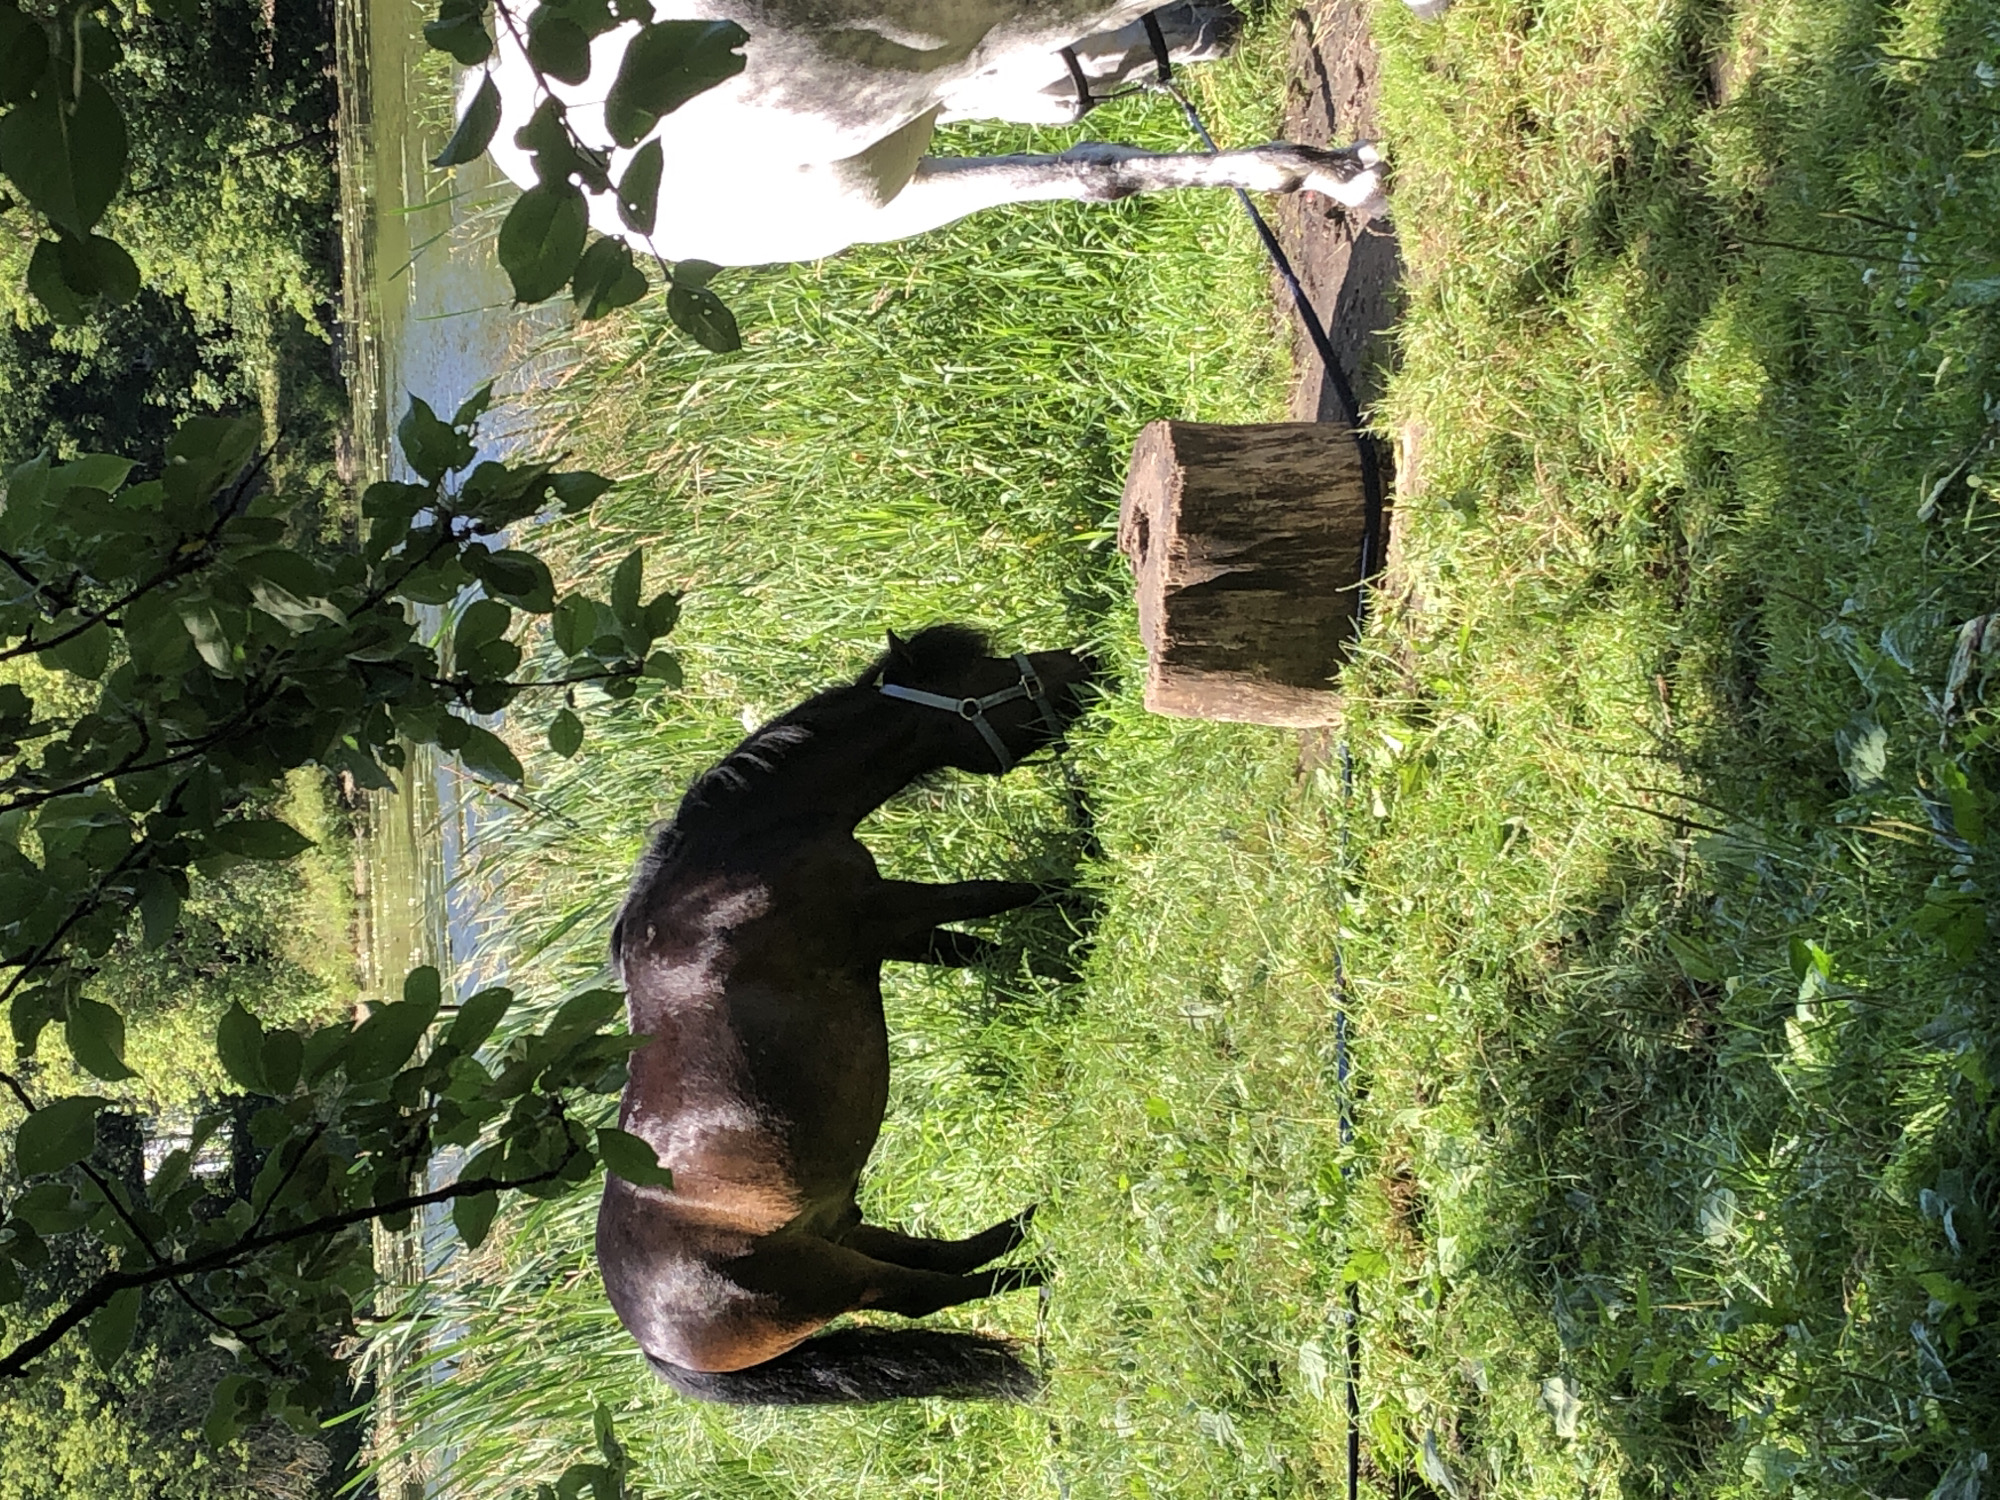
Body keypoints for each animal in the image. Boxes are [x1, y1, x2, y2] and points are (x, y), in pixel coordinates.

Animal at [598, 625, 1097, 1403]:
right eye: (982, 673)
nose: (1087, 662)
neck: (729, 870)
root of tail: (657, 1344)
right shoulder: (886, 912)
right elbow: (999, 892)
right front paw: (1092, 885)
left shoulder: (893, 937)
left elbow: (984, 948)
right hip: (834, 1278)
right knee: (926, 1290)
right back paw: (1038, 1267)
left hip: (833, 1227)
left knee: (935, 1255)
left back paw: (1027, 1224)